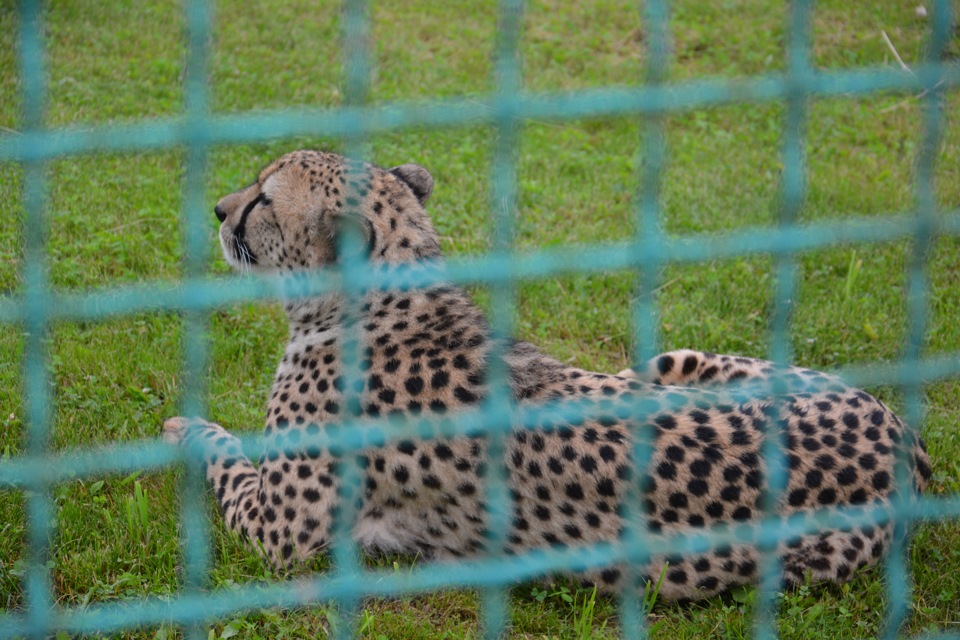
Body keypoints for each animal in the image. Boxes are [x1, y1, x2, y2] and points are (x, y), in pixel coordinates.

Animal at [163, 150, 928, 600]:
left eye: (265, 199)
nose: (220, 210)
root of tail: (904, 436)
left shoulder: (279, 533)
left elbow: (226, 456)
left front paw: (183, 428)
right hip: (674, 363)